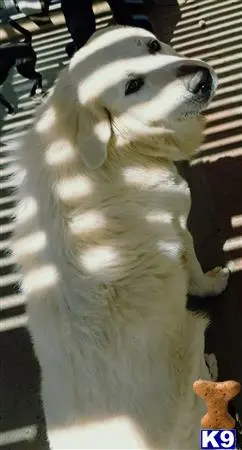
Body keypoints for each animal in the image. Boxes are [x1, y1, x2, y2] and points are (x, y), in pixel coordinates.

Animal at [13, 26, 229, 448]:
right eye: (132, 86)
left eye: (153, 45)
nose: (201, 79)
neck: (114, 147)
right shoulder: (178, 226)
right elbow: (196, 273)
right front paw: (214, 282)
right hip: (193, 334)